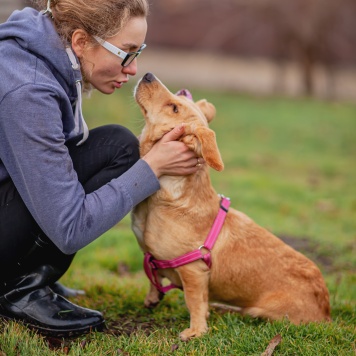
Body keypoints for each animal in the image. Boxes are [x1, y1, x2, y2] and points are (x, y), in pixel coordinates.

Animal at [131, 73, 330, 342]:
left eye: (174, 107)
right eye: (179, 100)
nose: (147, 74)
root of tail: (327, 313)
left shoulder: (193, 271)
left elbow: (194, 302)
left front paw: (196, 330)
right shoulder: (154, 258)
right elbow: (153, 276)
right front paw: (153, 297)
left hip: (260, 311)